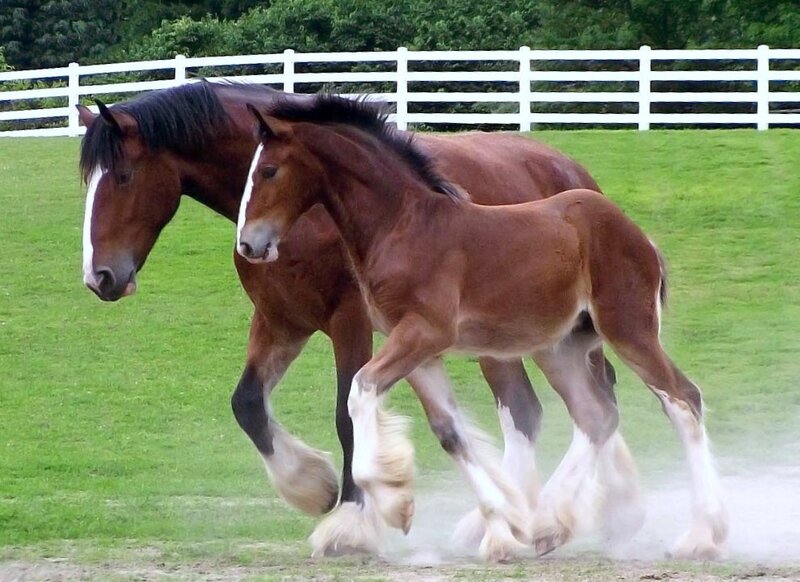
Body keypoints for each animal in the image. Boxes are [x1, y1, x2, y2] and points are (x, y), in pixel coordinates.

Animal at [76, 81, 639, 557]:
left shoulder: (352, 323)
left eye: (123, 177)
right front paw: (313, 485)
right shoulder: (281, 322)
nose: (100, 276)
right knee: (557, 406)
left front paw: (350, 519)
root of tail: (573, 174)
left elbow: (346, 414)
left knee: (553, 406)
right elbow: (248, 404)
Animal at [236, 94, 729, 561]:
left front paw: (392, 505)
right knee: (597, 415)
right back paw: (548, 523)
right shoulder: (419, 351)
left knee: (683, 400)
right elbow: (450, 433)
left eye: (270, 170)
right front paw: (501, 530)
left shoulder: (423, 333)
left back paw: (701, 536)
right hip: (562, 347)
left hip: (629, 330)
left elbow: (360, 392)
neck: (403, 225)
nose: (248, 244)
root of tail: (639, 235)